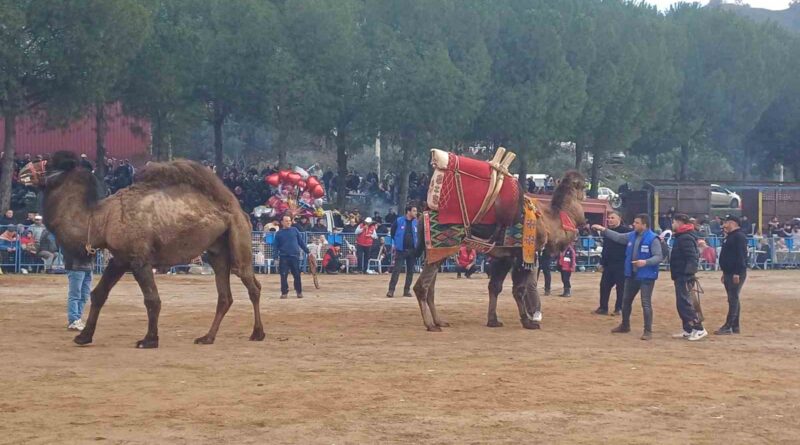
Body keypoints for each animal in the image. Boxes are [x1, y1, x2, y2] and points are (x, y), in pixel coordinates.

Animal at [19, 151, 266, 348]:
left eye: (49, 163)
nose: (22, 171)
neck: (99, 220)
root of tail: (238, 209)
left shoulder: (139, 259)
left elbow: (152, 299)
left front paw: (149, 340)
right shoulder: (119, 259)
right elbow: (98, 294)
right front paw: (84, 337)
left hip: (238, 238)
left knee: (252, 285)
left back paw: (257, 333)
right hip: (216, 250)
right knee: (225, 295)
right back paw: (207, 337)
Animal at [410, 147, 584, 332]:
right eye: (583, 185)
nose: (585, 195)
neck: (550, 221)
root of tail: (423, 216)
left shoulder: (505, 256)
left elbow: (495, 286)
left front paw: (493, 320)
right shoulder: (522, 254)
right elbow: (519, 290)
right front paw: (528, 322)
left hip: (438, 251)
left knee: (431, 288)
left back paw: (439, 321)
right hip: (440, 246)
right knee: (421, 287)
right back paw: (430, 325)